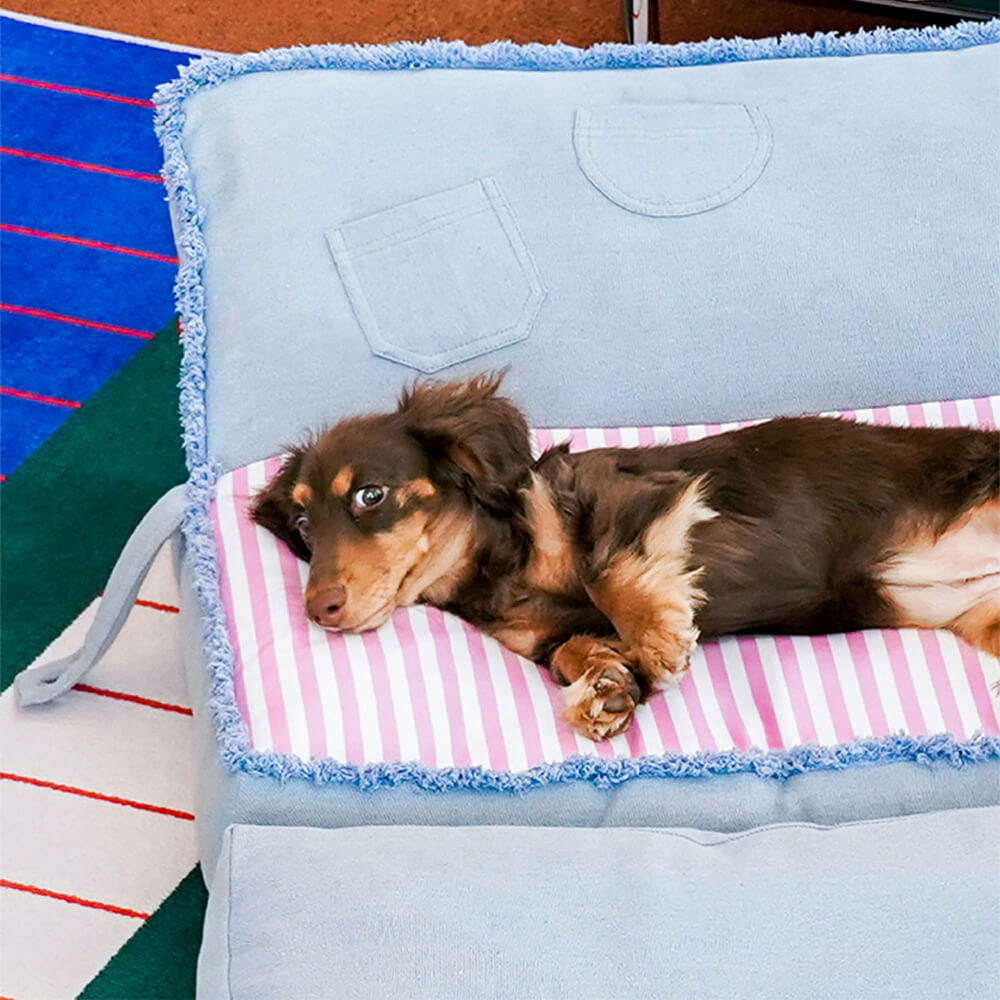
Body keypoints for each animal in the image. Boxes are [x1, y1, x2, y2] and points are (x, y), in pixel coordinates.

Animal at [252, 376, 1000, 744]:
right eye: (301, 523)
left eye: (370, 495)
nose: (318, 610)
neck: (495, 570)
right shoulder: (540, 637)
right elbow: (567, 651)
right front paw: (605, 684)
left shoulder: (641, 494)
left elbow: (607, 570)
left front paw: (657, 635)